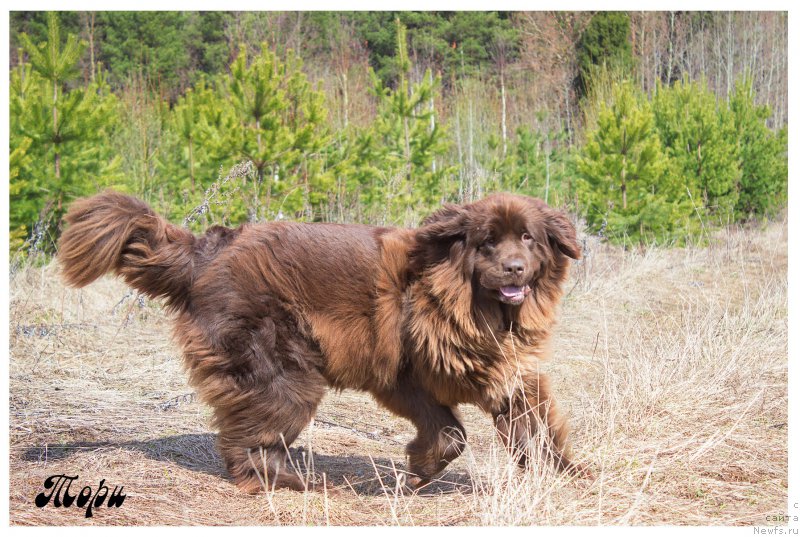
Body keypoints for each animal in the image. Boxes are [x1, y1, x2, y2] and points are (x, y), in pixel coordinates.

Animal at [56, 191, 580, 492]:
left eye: (528, 239)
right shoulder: (415, 374)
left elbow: (505, 429)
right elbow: (457, 432)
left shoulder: (468, 376)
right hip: (280, 369)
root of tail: (207, 252)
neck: (464, 303)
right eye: (487, 241)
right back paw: (294, 481)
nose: (514, 268)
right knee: (252, 437)